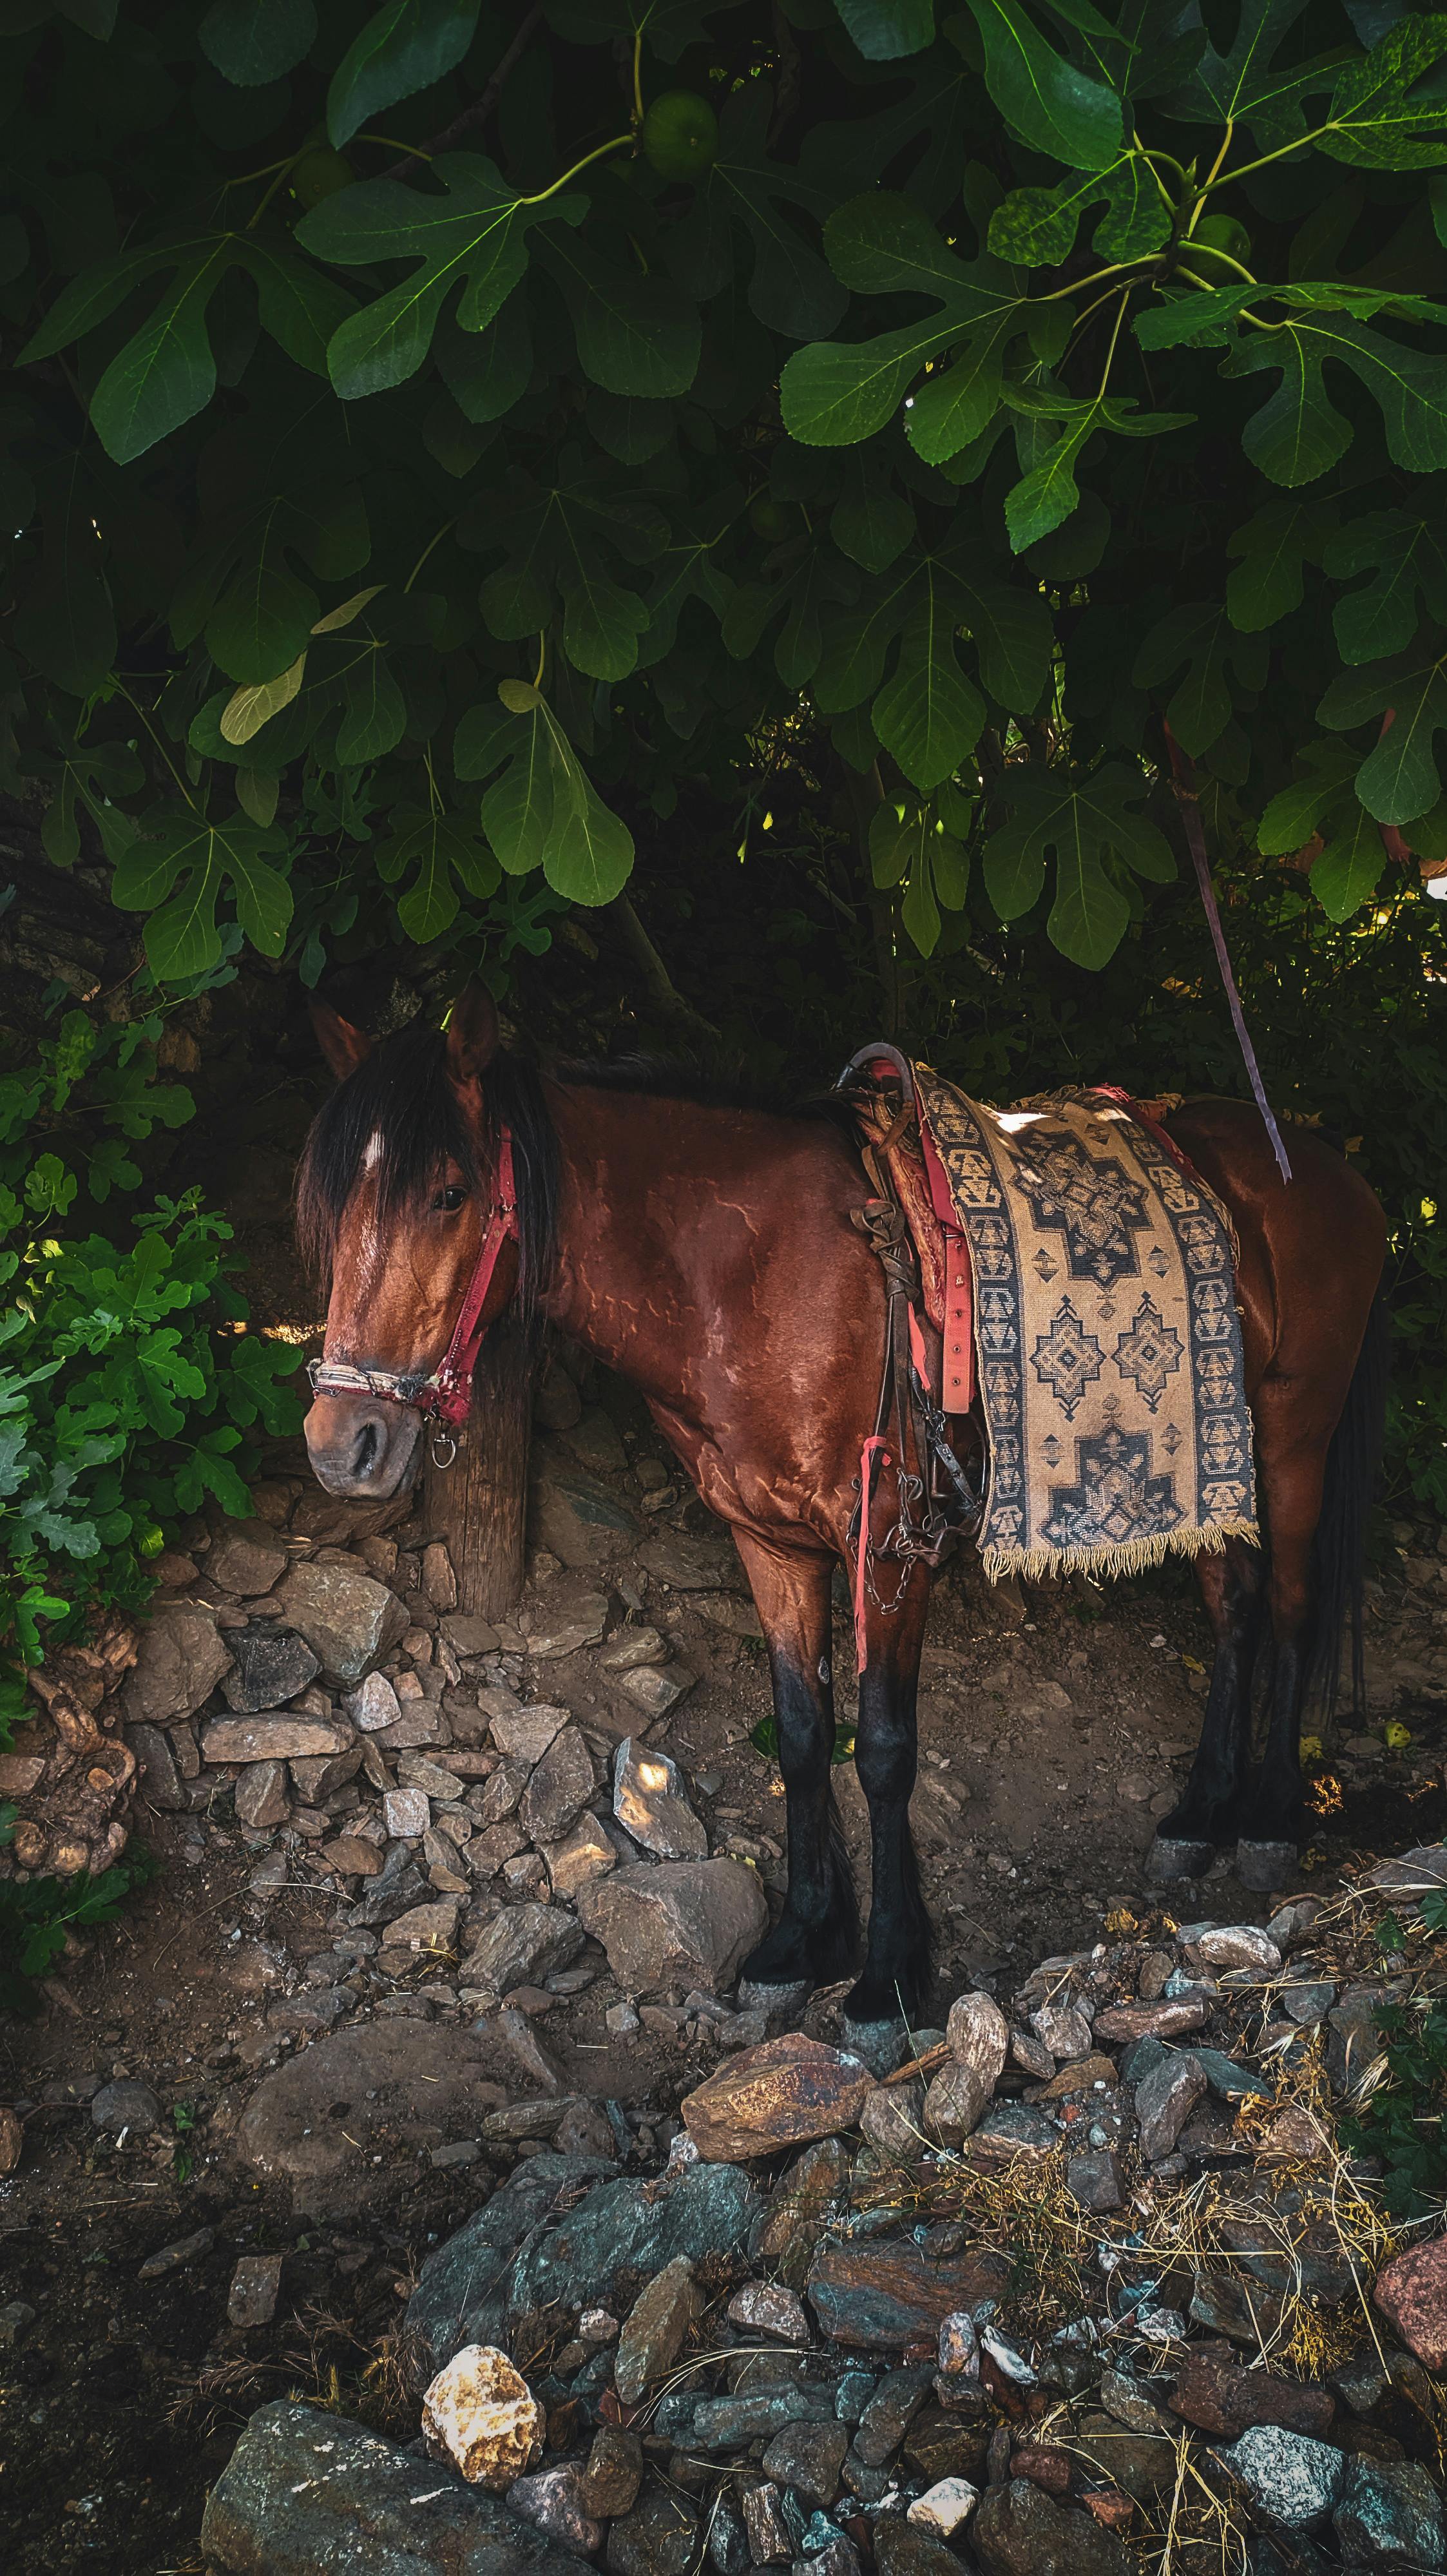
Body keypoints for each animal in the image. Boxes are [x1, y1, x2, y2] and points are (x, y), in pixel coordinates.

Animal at [297, 982, 1389, 2058]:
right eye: (332, 1204)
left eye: (449, 1193)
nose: (342, 1441)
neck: (749, 1271)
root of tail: (1330, 1168)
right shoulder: (769, 1541)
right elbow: (802, 1733)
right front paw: (800, 1938)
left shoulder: (886, 1543)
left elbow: (886, 1752)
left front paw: (884, 1976)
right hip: (1210, 1484)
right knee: (1234, 1606)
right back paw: (1198, 1816)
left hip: (1292, 1444)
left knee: (1288, 1608)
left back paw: (1268, 1822)